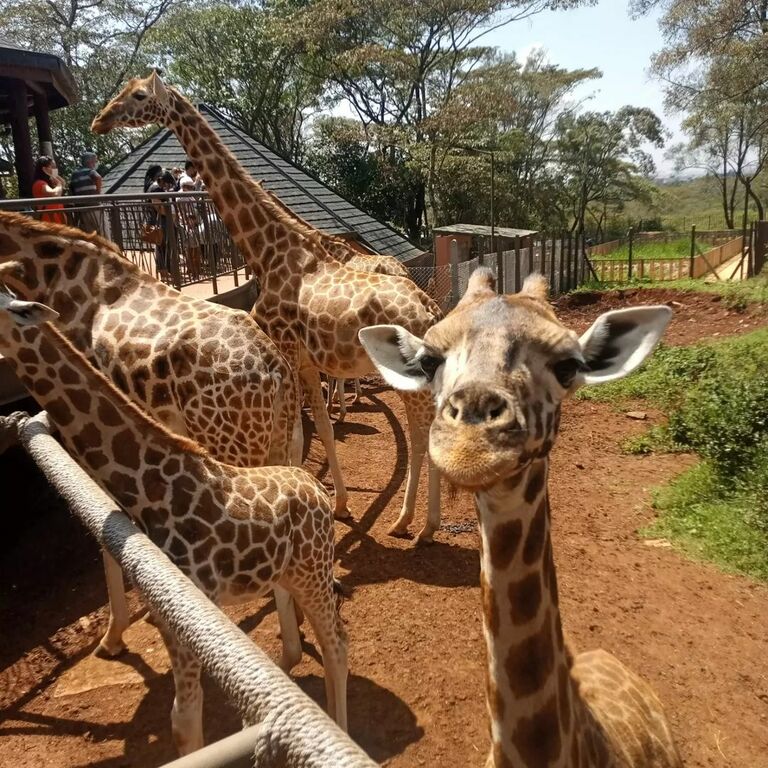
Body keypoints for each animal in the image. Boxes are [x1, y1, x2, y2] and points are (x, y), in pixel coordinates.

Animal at [0, 210, 303, 662]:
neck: (52, 275)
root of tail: (275, 370)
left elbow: (106, 527)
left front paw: (112, 637)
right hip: (281, 435)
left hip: (235, 442)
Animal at [0, 292, 347, 754]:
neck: (152, 488)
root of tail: (317, 492)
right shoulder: (174, 615)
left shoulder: (190, 615)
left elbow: (183, 723)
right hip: (291, 572)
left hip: (312, 574)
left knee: (337, 643)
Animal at [92, 73, 444, 543]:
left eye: (139, 95)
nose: (100, 120)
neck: (269, 250)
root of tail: (430, 308)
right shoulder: (305, 361)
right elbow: (323, 428)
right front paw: (341, 504)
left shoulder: (286, 355)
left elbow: (296, 436)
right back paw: (419, 522)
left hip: (411, 381)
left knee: (423, 436)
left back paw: (414, 524)